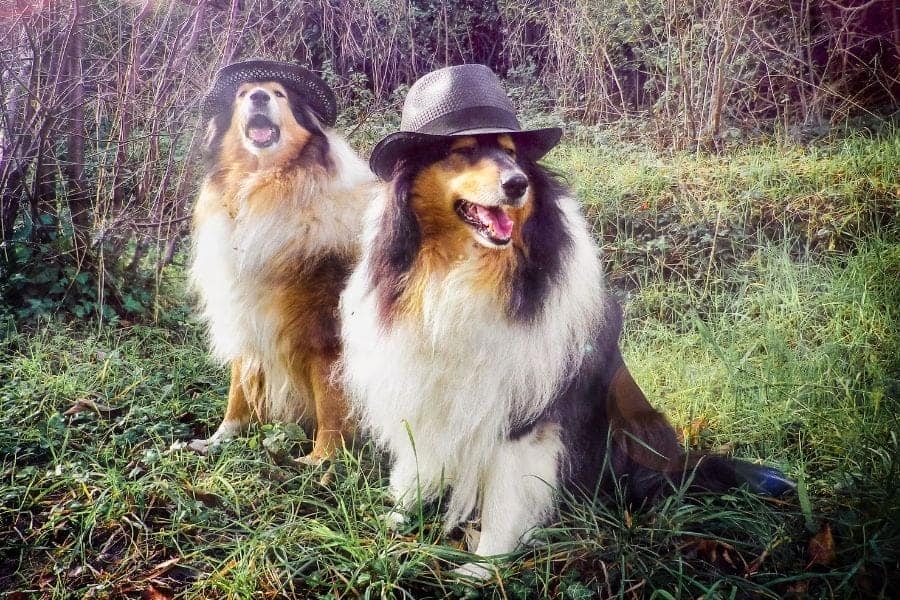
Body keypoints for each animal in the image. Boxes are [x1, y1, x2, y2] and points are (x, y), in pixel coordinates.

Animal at [188, 61, 374, 462]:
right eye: (242, 94)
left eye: (279, 94)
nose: (258, 97)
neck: (263, 186)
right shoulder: (245, 315)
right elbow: (239, 389)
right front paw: (219, 439)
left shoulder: (326, 338)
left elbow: (331, 405)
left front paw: (321, 461)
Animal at [342, 65, 792, 576]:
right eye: (464, 150)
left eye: (512, 152)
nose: (517, 184)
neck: (464, 269)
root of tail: (683, 463)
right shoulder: (426, 387)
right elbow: (415, 465)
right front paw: (396, 518)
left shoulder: (525, 414)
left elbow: (505, 499)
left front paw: (485, 567)